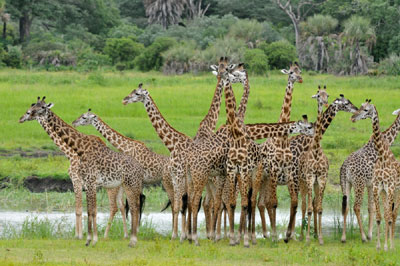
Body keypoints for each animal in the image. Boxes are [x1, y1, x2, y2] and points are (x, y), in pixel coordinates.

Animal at [18, 97, 145, 247]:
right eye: (33, 107)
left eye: (42, 107)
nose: (23, 117)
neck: (78, 149)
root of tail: (140, 168)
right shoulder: (87, 182)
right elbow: (89, 210)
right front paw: (88, 238)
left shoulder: (86, 181)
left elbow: (89, 210)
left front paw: (89, 238)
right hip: (125, 186)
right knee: (130, 206)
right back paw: (130, 237)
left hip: (128, 185)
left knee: (132, 208)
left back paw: (131, 240)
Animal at [256, 61, 304, 241]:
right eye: (290, 72)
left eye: (300, 71)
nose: (300, 78)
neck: (282, 140)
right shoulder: (275, 171)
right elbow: (274, 203)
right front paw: (276, 234)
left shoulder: (289, 172)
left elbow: (294, 202)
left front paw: (288, 235)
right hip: (259, 178)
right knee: (258, 202)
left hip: (266, 180)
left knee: (260, 202)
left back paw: (265, 233)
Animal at [340, 108, 400, 243]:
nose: (353, 117)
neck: (387, 139)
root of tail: (344, 167)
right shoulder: (373, 183)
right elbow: (373, 208)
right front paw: (370, 235)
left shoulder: (370, 184)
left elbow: (370, 208)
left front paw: (370, 234)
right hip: (359, 184)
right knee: (356, 207)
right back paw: (362, 237)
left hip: (346, 184)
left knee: (346, 207)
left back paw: (343, 237)